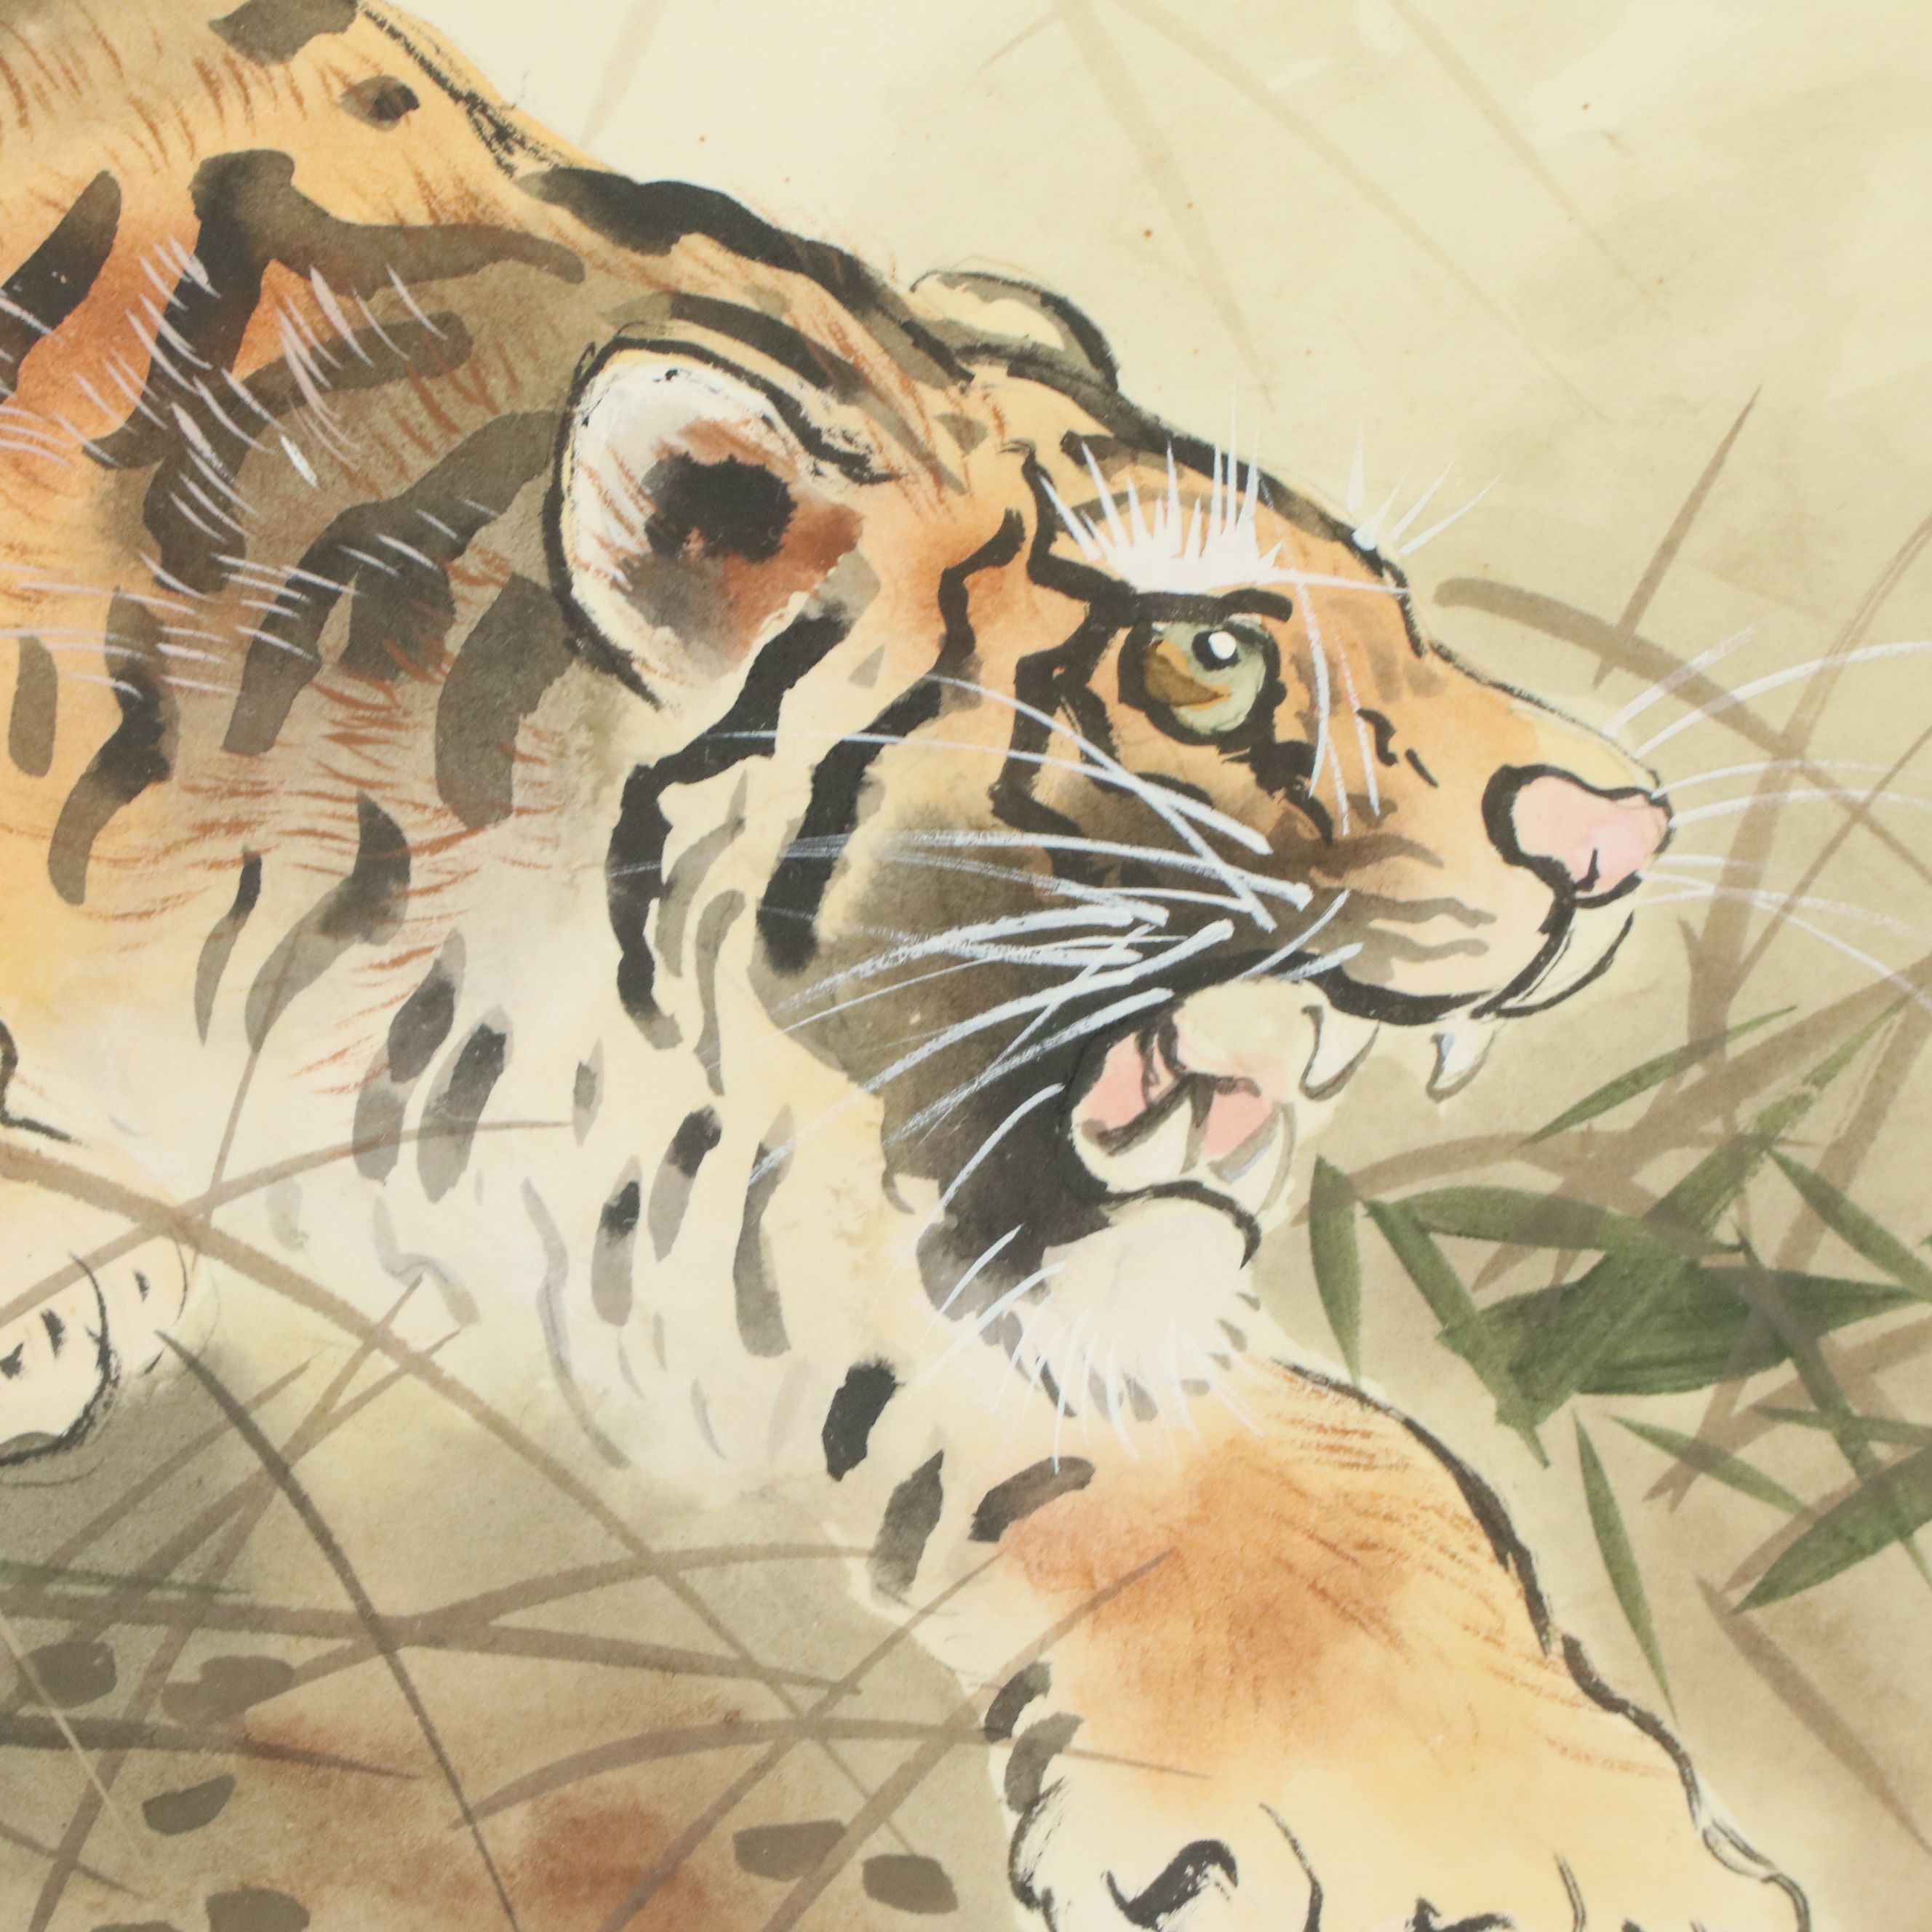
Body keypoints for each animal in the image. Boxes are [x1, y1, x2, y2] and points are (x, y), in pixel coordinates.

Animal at [0, 1, 1808, 1926]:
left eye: (1399, 619)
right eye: (1213, 657)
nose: (1621, 836)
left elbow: (1315, 1460)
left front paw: (1565, 1827)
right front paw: (61, 1268)